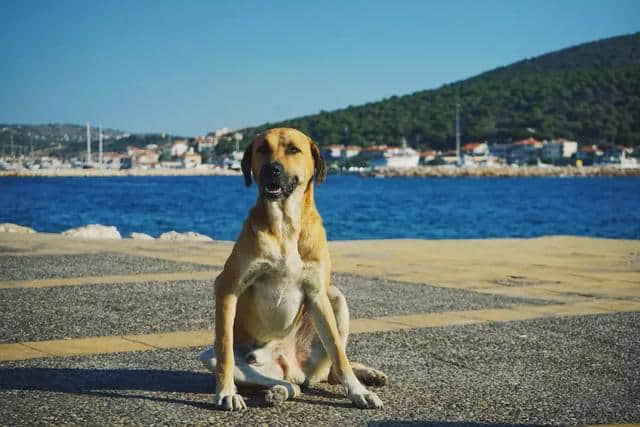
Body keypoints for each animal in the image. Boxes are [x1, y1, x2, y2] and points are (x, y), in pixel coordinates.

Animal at [200, 128, 388, 412]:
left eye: (293, 150)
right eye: (262, 149)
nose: (272, 169)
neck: (285, 224)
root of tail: (294, 368)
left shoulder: (317, 294)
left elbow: (338, 351)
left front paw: (358, 392)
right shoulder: (226, 287)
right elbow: (224, 350)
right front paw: (226, 392)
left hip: (335, 297)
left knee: (332, 371)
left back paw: (366, 375)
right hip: (217, 357)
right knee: (291, 385)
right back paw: (278, 391)